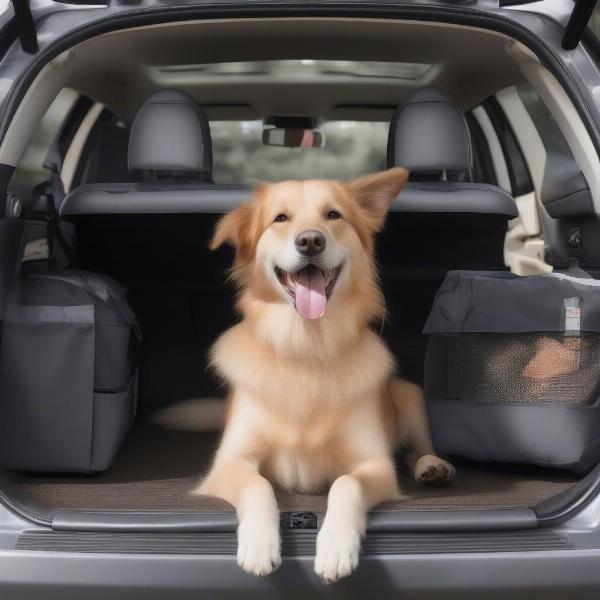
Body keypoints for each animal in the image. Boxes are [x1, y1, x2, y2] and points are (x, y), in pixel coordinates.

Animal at [161, 168, 454, 580]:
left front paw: (335, 547)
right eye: (280, 218)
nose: (311, 241)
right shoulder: (229, 464)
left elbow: (346, 485)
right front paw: (259, 545)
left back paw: (432, 467)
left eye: (333, 215)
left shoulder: (374, 465)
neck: (305, 346)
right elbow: (257, 485)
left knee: (419, 448)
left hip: (409, 395)